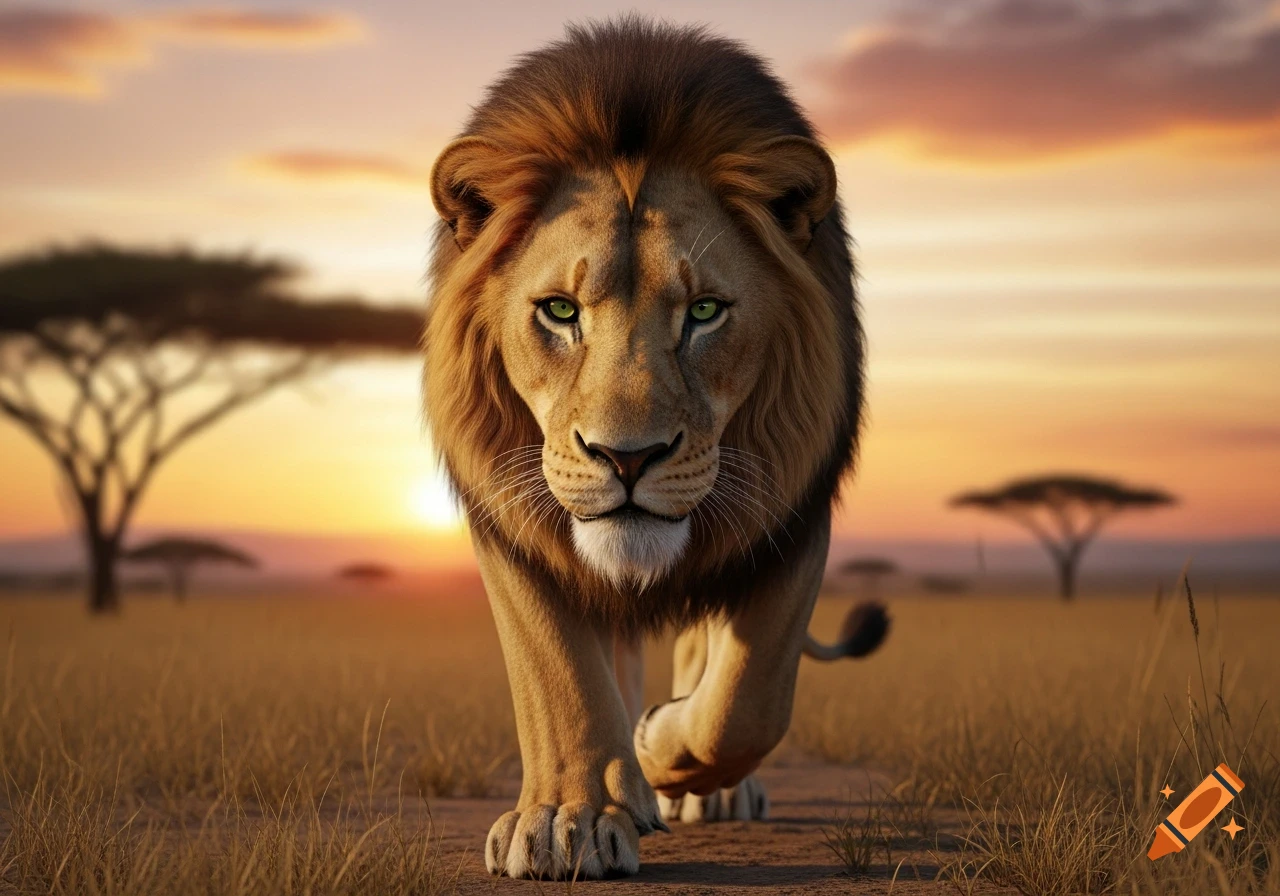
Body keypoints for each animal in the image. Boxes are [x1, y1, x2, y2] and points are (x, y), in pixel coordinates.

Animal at [423, 17, 888, 880]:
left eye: (704, 310)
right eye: (559, 310)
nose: (627, 458)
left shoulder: (793, 512)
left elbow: (748, 703)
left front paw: (658, 749)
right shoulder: (512, 517)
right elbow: (557, 671)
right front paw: (567, 819)